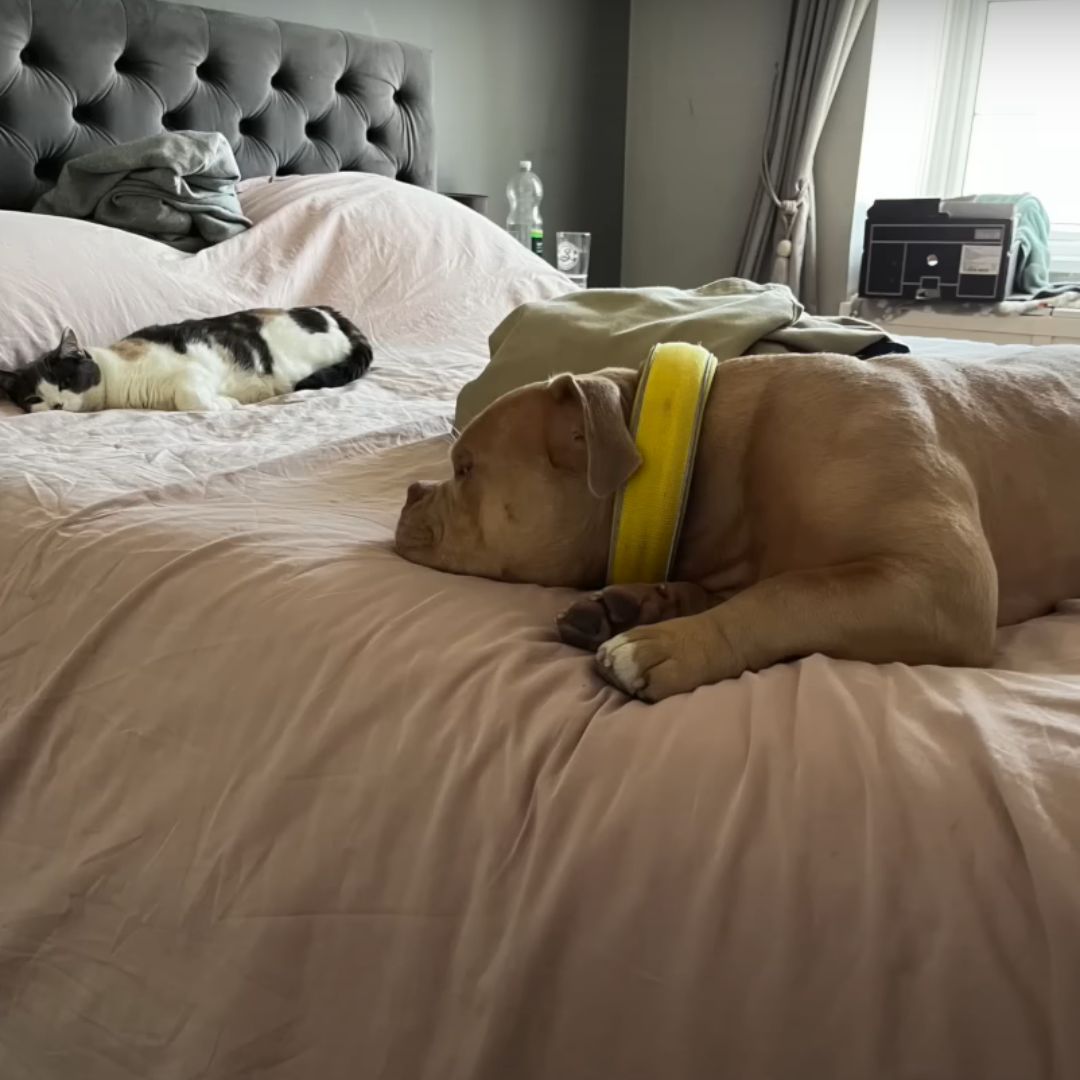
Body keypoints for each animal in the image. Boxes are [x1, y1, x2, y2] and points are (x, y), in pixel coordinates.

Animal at [0, 308, 375, 416]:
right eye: (35, 398)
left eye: (65, 382)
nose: (57, 405)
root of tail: (328, 310)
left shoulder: (193, 373)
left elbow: (190, 398)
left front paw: (226, 403)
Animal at [395, 354, 1080, 704]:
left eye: (465, 468)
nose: (410, 490)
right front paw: (633, 604)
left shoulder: (942, 582)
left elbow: (790, 592)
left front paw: (666, 640)